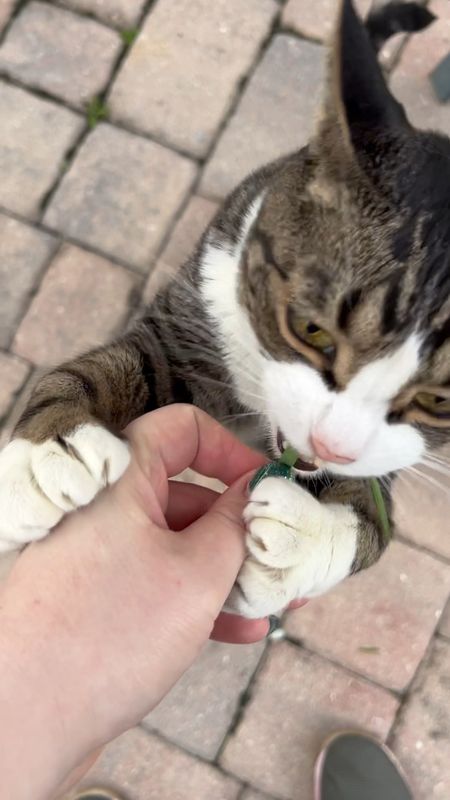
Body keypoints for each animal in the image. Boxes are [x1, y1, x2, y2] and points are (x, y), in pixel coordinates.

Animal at [0, 0, 450, 620]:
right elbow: (116, 366)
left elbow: (372, 512)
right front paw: (49, 451)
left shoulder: (390, 450)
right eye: (311, 329)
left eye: (440, 400)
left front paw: (307, 540)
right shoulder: (193, 317)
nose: (330, 445)